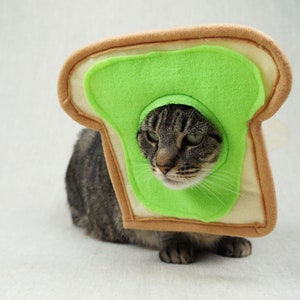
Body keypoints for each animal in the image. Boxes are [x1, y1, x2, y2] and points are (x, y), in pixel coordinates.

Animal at [65, 104, 251, 264]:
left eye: (194, 137)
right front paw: (176, 246)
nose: (162, 166)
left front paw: (233, 238)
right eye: (152, 136)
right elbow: (165, 227)